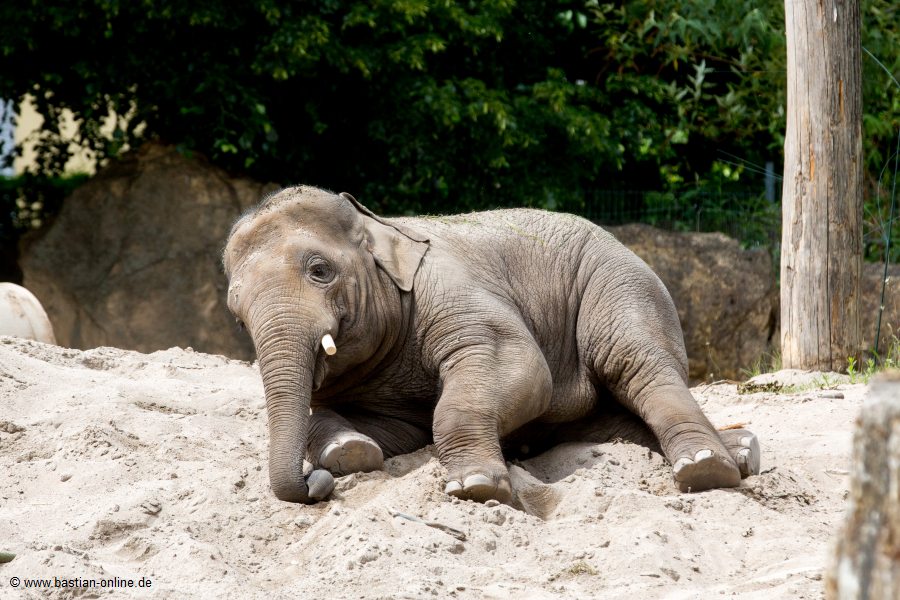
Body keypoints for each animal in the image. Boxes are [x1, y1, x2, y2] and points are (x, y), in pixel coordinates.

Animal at [223, 185, 760, 504]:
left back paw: (709, 468)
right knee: (615, 420)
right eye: (236, 312)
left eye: (320, 270)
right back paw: (738, 452)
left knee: (638, 367)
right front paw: (349, 451)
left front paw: (475, 487)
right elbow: (385, 426)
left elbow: (518, 366)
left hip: (619, 285)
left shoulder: (449, 289)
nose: (316, 486)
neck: (379, 222)